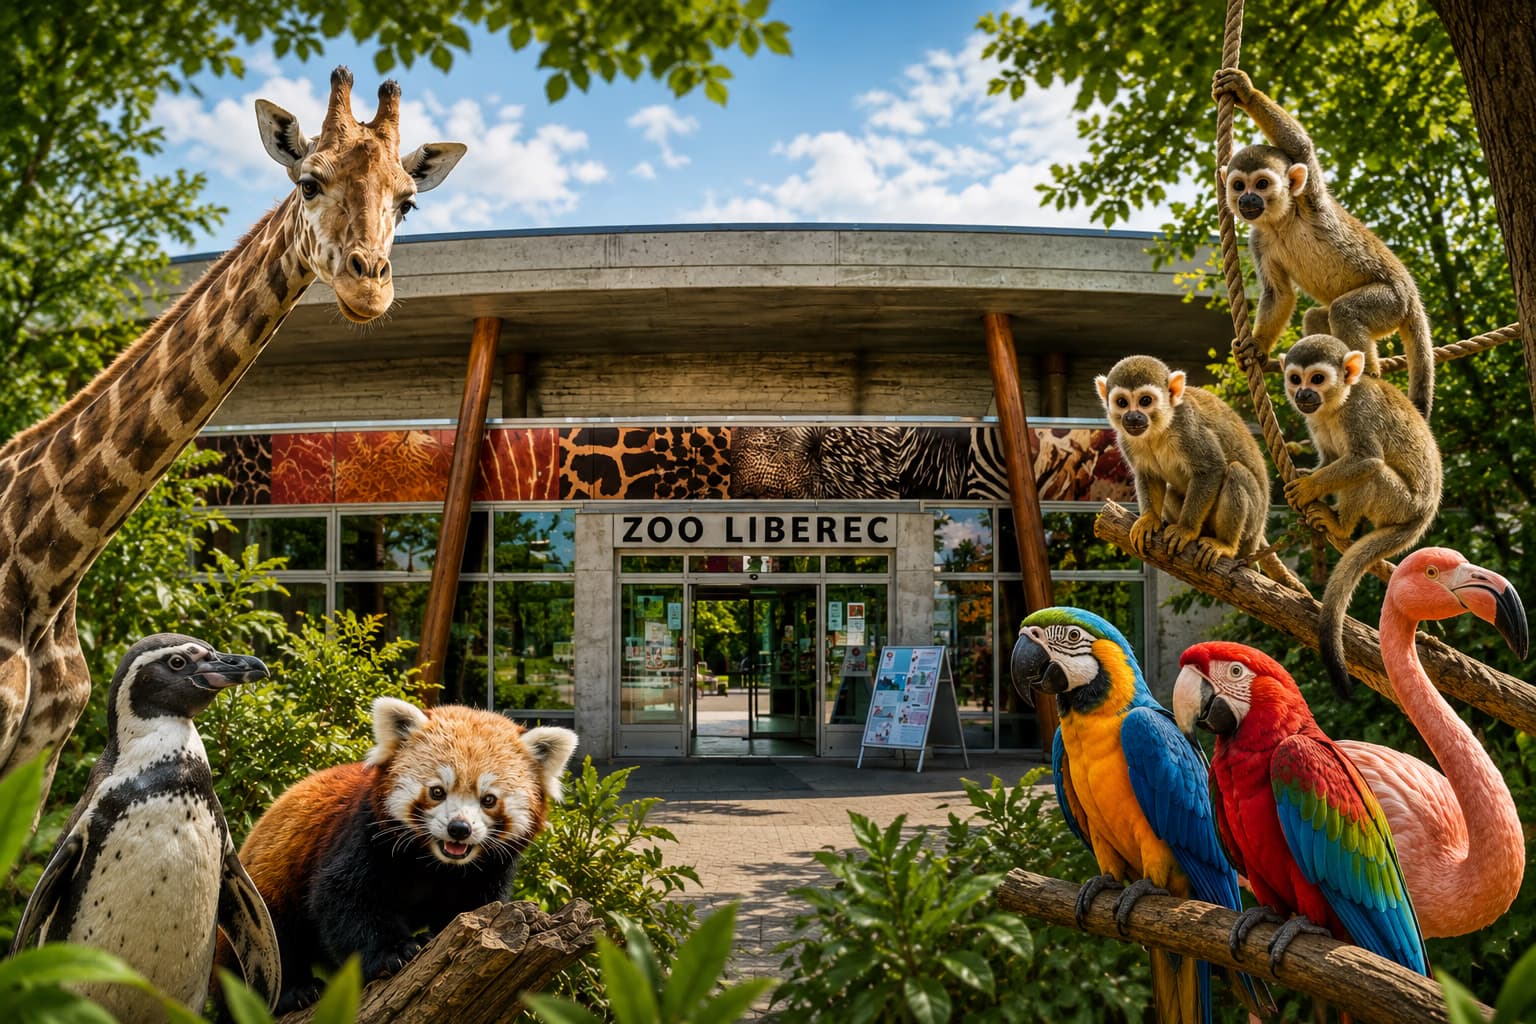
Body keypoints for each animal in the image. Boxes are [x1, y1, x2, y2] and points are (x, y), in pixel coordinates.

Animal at [1096, 354, 1305, 591]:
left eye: (1145, 401)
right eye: (1122, 403)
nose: (1132, 417)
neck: (1159, 428)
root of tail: (1258, 533)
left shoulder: (1187, 426)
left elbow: (1211, 469)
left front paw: (1186, 529)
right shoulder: (1126, 439)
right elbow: (1148, 475)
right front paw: (1149, 518)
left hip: (1252, 525)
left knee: (1235, 472)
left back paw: (1225, 545)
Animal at [1212, 66, 1436, 420]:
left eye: (1261, 184)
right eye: (1238, 186)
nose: (1247, 199)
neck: (1281, 220)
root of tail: (1412, 293)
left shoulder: (1310, 199)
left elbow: (1302, 148)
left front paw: (1244, 90)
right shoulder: (1258, 239)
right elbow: (1279, 294)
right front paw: (1257, 348)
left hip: (1393, 301)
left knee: (1344, 310)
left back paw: (1366, 374)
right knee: (1318, 317)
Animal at [1281, 333, 1443, 697]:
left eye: (1317, 379)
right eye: (1295, 379)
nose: (1303, 395)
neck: (1337, 404)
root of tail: (1424, 515)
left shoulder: (1359, 413)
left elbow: (1366, 459)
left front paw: (1309, 487)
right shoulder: (1315, 418)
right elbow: (1330, 458)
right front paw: (1308, 476)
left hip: (1401, 503)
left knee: (1372, 472)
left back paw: (1340, 526)